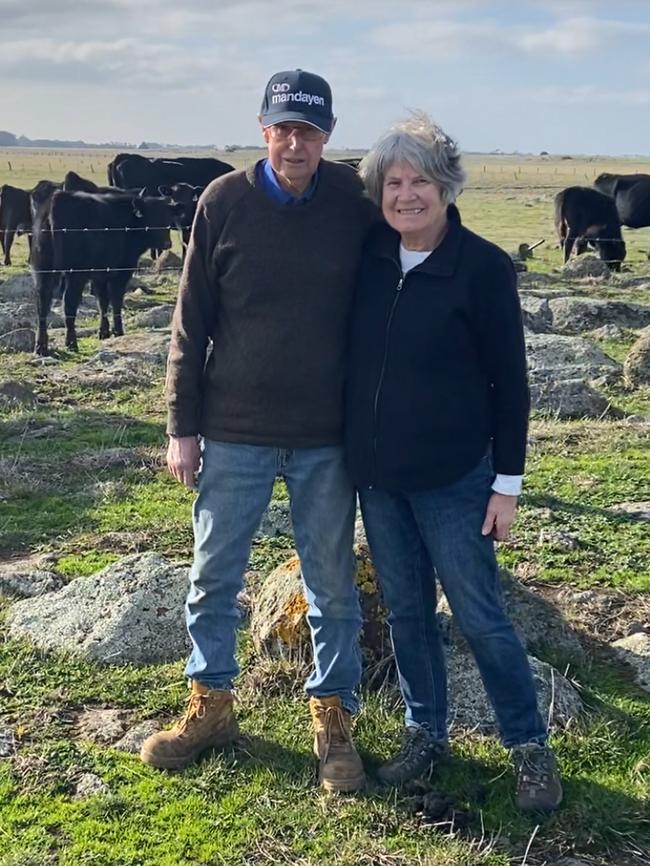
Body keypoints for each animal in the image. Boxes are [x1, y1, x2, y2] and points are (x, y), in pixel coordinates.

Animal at [33, 190, 185, 354]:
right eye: (151, 217)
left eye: (167, 218)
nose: (167, 243)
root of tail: (57, 198)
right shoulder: (120, 272)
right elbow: (116, 300)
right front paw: (118, 331)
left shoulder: (100, 275)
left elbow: (103, 301)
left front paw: (104, 332)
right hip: (75, 274)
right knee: (69, 303)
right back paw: (71, 342)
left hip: (43, 270)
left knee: (43, 303)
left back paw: (41, 346)